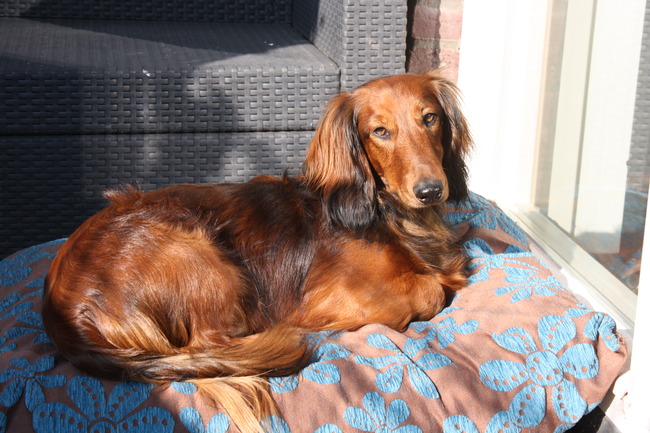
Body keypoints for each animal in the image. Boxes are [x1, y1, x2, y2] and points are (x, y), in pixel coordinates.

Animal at [43, 71, 473, 433]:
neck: (391, 213)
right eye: (379, 131)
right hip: (201, 258)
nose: (431, 190)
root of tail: (60, 313)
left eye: (430, 118)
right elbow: (432, 291)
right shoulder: (328, 297)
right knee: (207, 343)